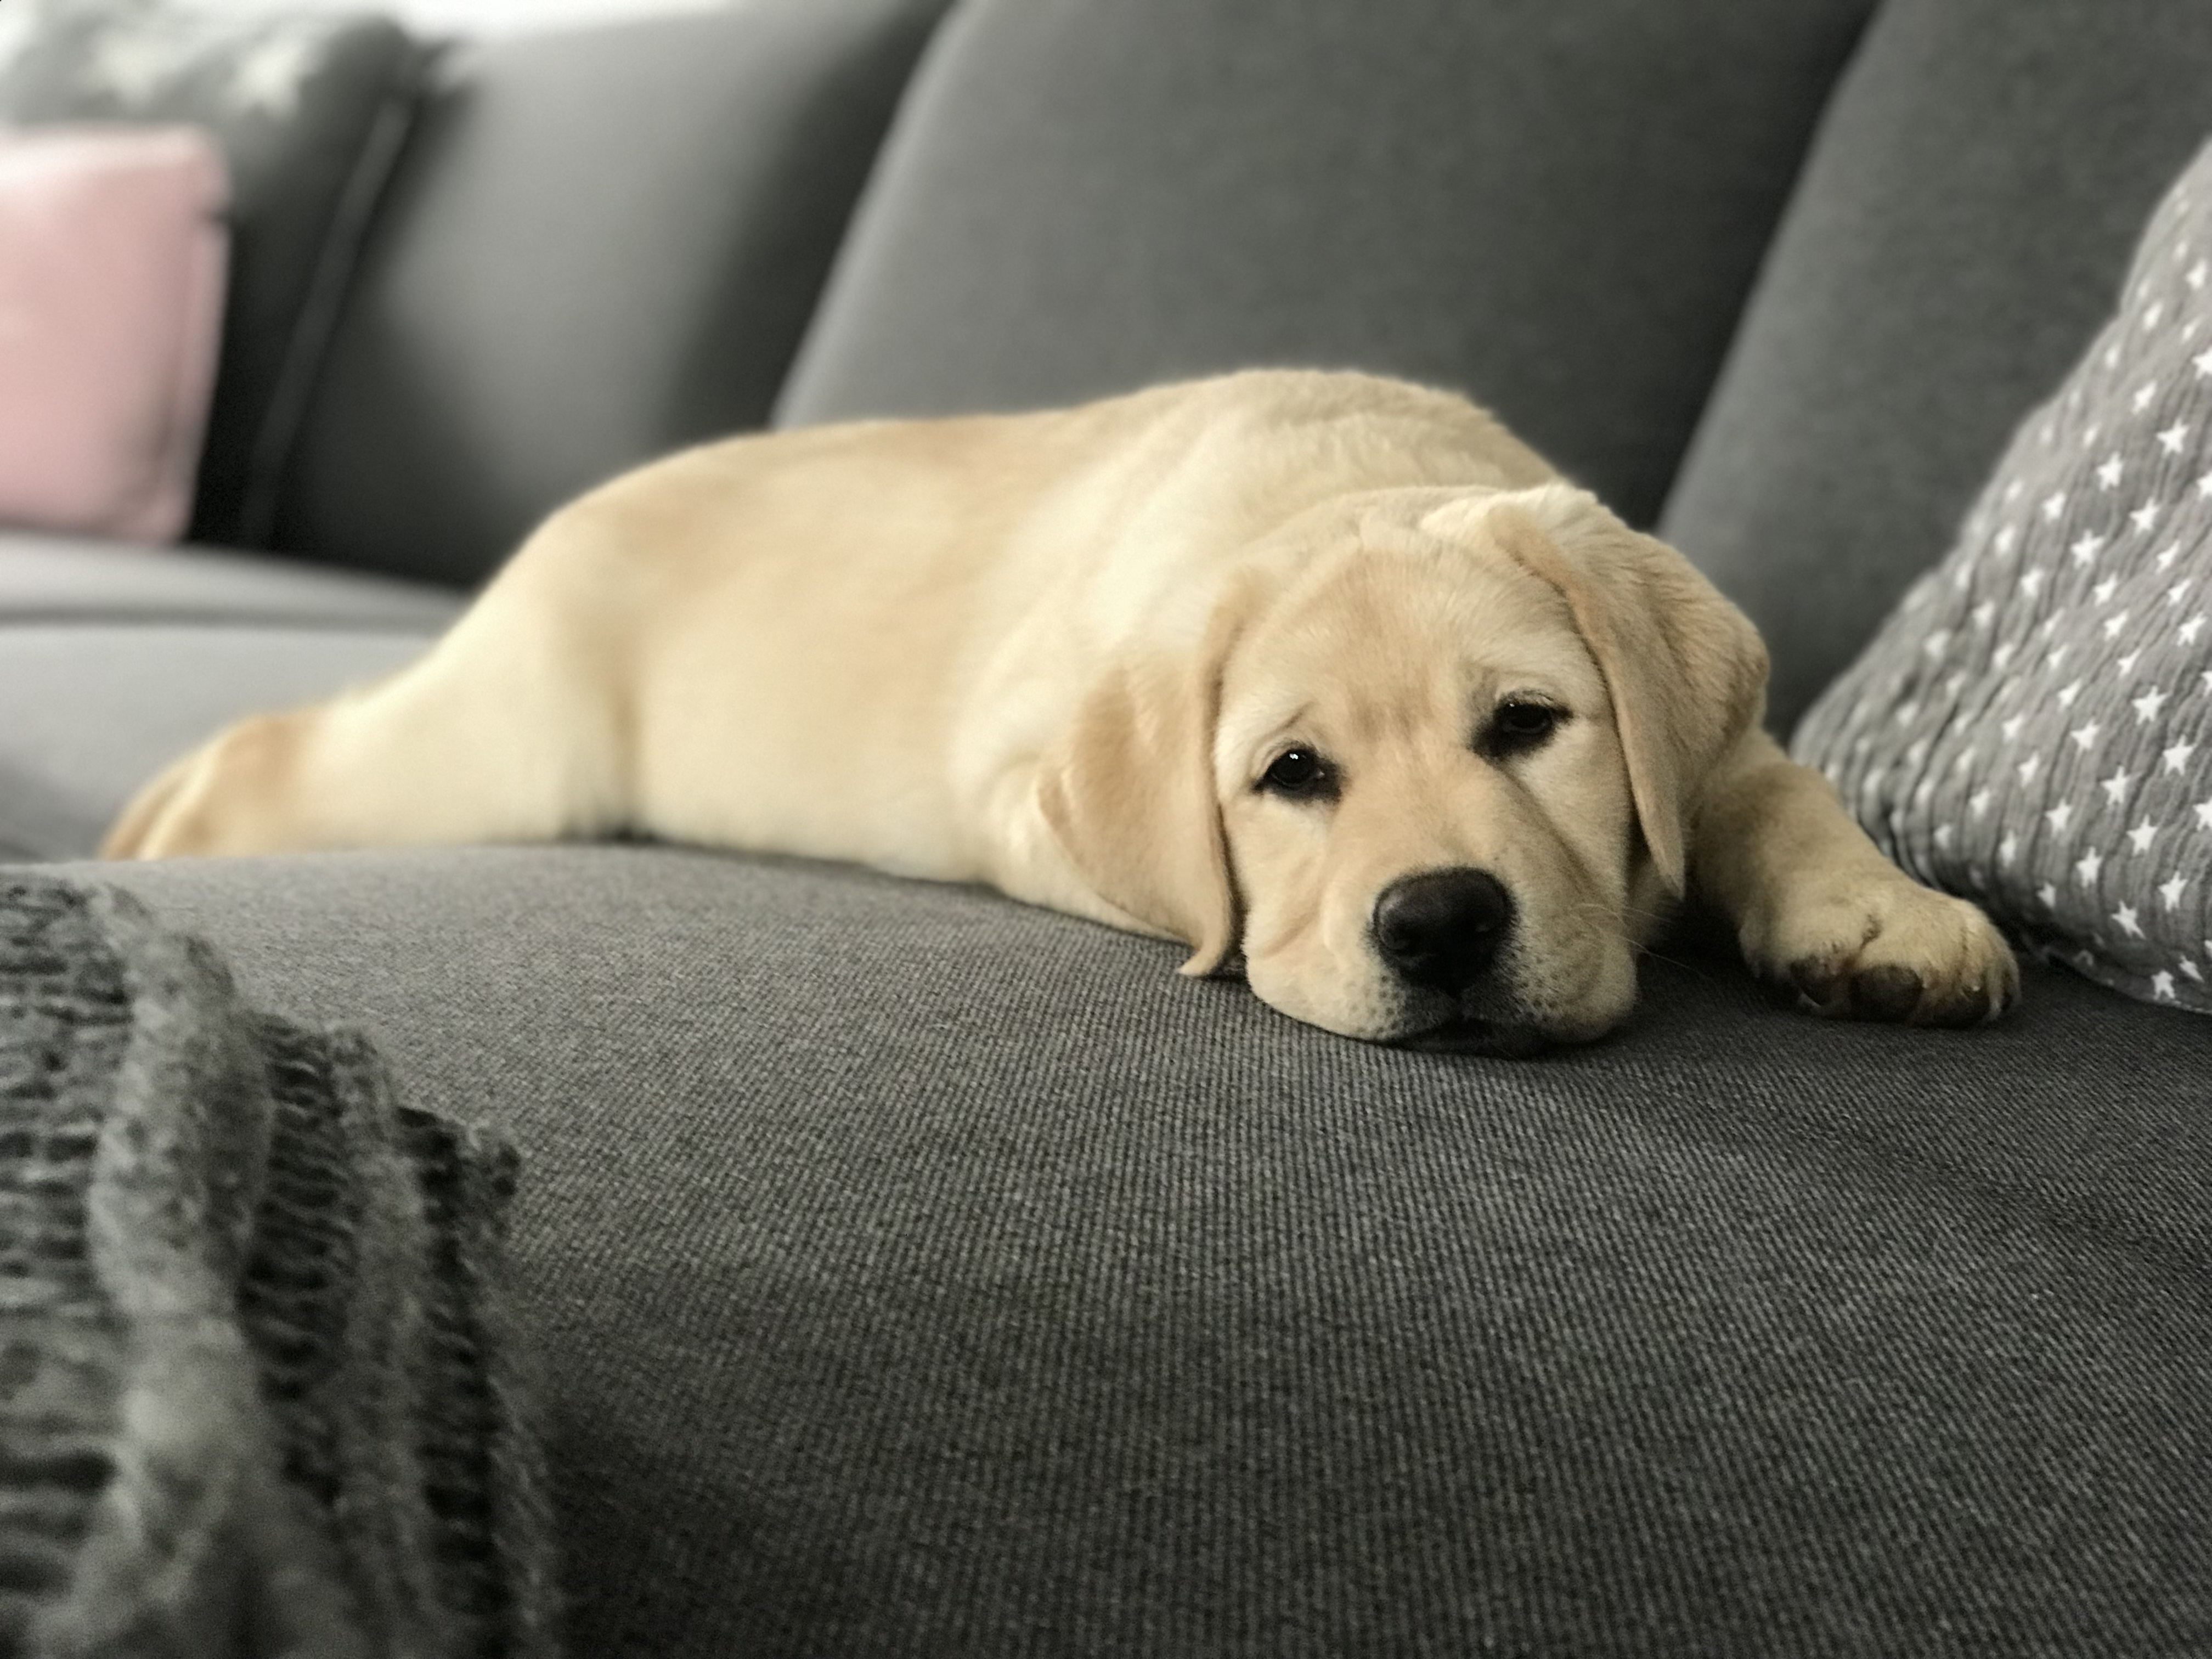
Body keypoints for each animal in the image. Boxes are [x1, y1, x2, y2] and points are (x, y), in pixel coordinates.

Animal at [103, 371, 2018, 1051]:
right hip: (511, 755)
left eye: (1532, 728)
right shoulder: (1036, 795)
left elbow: (1767, 788)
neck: (1339, 473)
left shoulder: (1711, 744)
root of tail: (575, 513)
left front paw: (1882, 915)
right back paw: (154, 821)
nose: (1443, 927)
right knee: (281, 752)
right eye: (1290, 776)